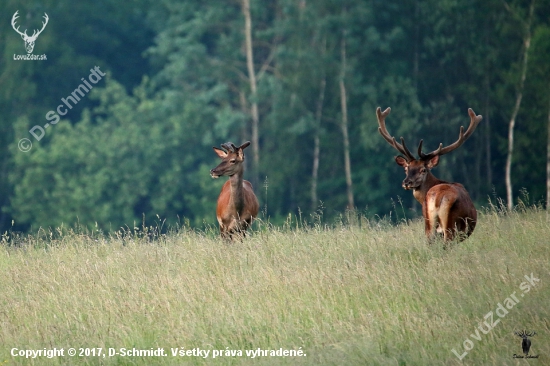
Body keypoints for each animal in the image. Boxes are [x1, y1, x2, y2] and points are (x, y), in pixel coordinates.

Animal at [380, 106, 484, 243]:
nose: (407, 182)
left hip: (430, 222)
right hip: (449, 225)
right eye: (406, 169)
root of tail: (439, 197)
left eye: (423, 170)